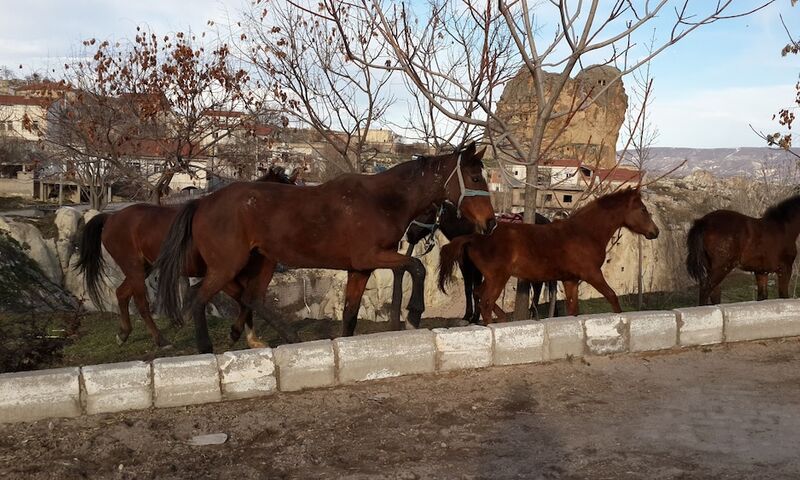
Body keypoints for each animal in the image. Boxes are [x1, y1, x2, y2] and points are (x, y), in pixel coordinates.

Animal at [74, 165, 300, 344]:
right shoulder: (222, 275)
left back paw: (123, 334)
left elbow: (247, 301)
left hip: (144, 267)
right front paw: (240, 333)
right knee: (141, 303)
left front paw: (247, 337)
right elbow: (244, 299)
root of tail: (110, 217)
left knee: (122, 293)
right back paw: (160, 340)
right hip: (133, 267)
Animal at [153, 142, 496, 352]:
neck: (381, 201)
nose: (491, 222)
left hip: (259, 262)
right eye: (476, 175)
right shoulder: (372, 256)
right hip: (228, 265)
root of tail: (202, 202)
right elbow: (417, 266)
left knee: (249, 297)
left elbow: (350, 315)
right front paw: (413, 314)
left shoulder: (360, 269)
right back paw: (208, 348)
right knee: (200, 298)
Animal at [392, 204, 556, 328]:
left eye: (426, 212)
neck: (469, 231)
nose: (409, 235)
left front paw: (476, 317)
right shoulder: (465, 266)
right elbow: (468, 290)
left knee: (538, 286)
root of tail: (546, 219)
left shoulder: (477, 269)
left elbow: (476, 289)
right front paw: (467, 316)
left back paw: (533, 313)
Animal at [438, 188, 656, 322]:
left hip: (493, 278)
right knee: (486, 302)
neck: (584, 233)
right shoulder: (592, 274)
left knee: (479, 295)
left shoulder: (570, 280)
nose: (655, 232)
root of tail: (474, 237)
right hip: (497, 278)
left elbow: (573, 310)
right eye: (643, 209)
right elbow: (612, 297)